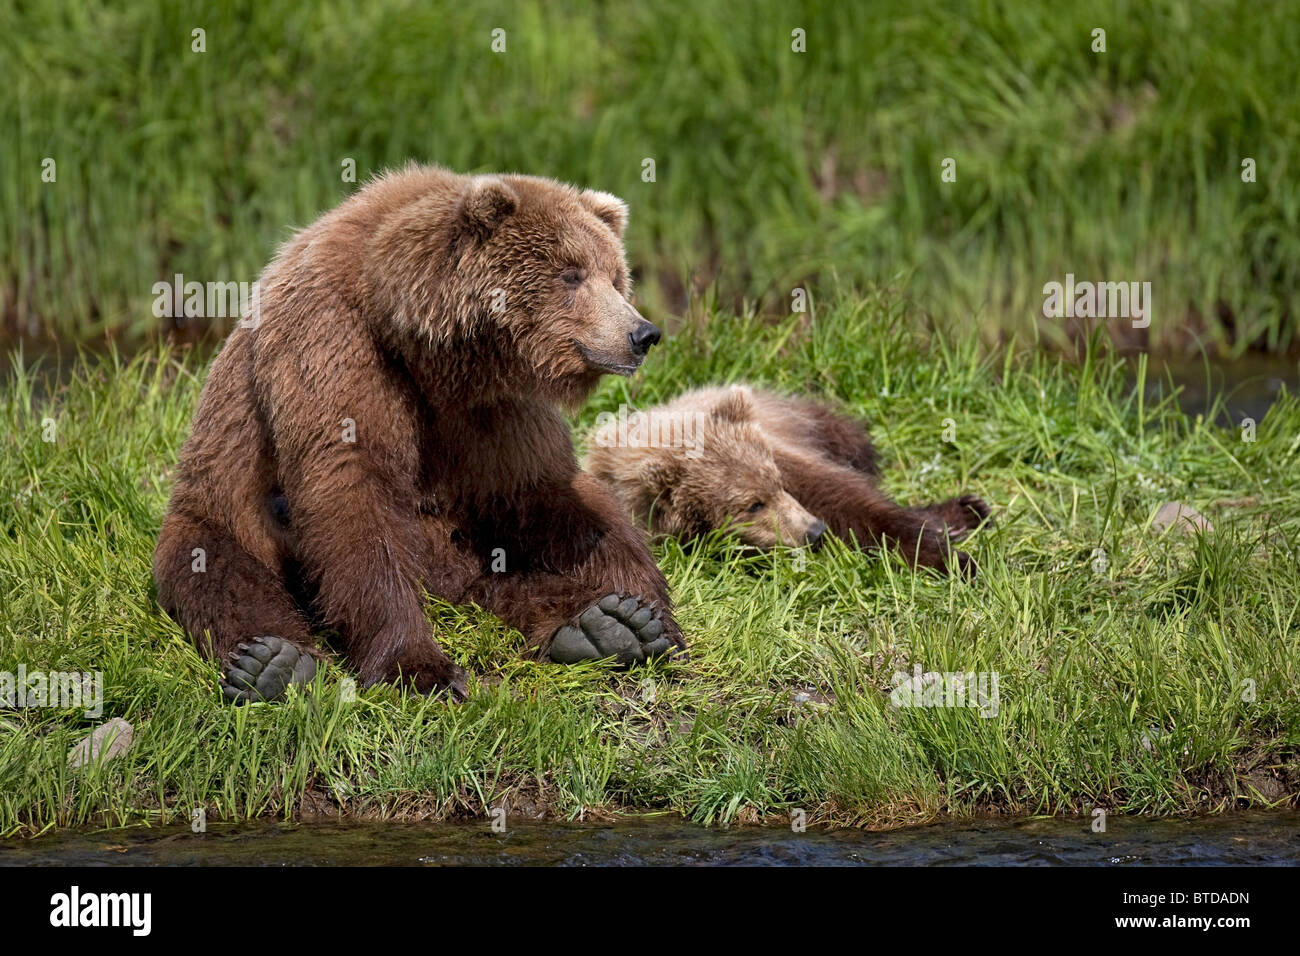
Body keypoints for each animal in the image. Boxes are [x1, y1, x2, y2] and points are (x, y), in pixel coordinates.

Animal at [154, 166, 681, 702]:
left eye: (615, 277)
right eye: (570, 274)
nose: (643, 334)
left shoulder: (493, 409)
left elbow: (549, 494)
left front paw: (645, 608)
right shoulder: (334, 345)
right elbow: (353, 490)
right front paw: (421, 669)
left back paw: (604, 626)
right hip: (218, 506)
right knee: (222, 575)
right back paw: (273, 661)